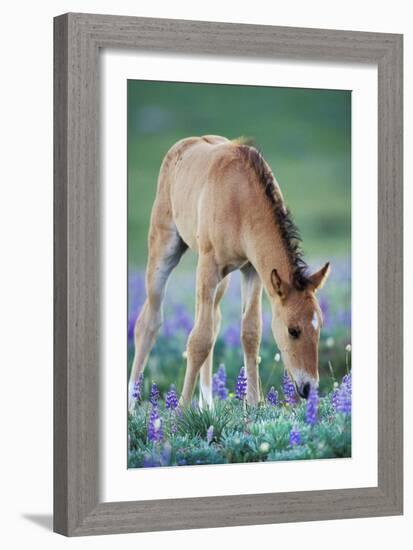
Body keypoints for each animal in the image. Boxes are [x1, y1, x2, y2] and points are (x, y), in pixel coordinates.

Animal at [128, 136, 328, 412]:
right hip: (165, 250)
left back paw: (207, 405)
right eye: (293, 330)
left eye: (319, 328)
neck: (240, 198)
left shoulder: (252, 269)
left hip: (223, 280)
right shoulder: (208, 264)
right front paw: (180, 410)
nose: (309, 388)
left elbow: (250, 332)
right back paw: (131, 403)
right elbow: (199, 339)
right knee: (149, 322)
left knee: (213, 320)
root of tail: (182, 145)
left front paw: (254, 404)